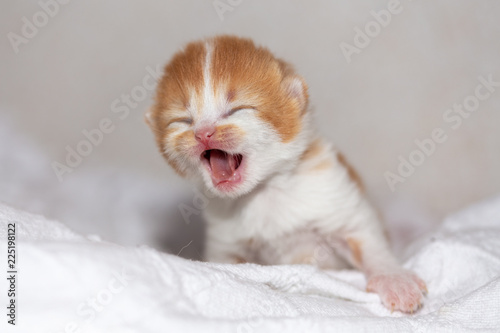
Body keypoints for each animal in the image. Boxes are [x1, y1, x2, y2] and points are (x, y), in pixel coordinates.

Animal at [146, 35, 428, 312]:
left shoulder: (336, 197)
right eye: (182, 121)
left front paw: (395, 280)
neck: (264, 191)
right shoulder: (225, 244)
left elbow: (367, 239)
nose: (203, 133)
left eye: (237, 109)